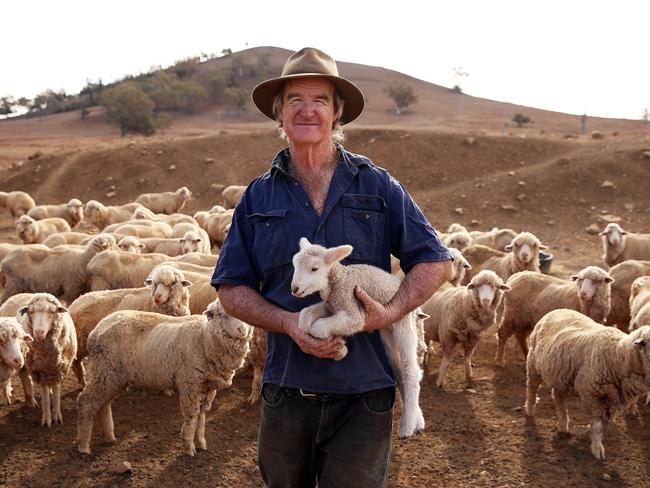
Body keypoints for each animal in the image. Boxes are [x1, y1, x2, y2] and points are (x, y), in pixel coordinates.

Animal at [18, 294, 77, 428]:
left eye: (52, 312)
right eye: (31, 312)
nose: (38, 333)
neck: (46, 355)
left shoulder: (58, 369)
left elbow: (56, 390)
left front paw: (57, 415)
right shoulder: (39, 371)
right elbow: (44, 394)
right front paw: (47, 418)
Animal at [74, 300, 251, 456]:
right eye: (221, 314)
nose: (242, 330)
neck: (204, 337)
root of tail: (95, 331)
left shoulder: (207, 387)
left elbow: (201, 416)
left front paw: (201, 443)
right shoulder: (190, 384)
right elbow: (192, 416)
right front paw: (189, 447)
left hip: (115, 377)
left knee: (103, 404)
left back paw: (109, 437)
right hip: (106, 370)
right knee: (86, 401)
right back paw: (83, 446)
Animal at [290, 238, 422, 440]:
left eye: (314, 268)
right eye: (294, 265)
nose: (294, 289)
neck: (339, 282)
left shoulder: (353, 312)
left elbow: (318, 327)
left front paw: (339, 348)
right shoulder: (330, 306)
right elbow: (305, 317)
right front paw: (336, 347)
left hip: (402, 322)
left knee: (411, 372)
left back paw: (407, 427)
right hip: (386, 332)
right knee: (398, 370)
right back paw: (417, 419)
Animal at [524, 310, 650, 460]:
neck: (619, 355)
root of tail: (557, 310)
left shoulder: (613, 398)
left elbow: (605, 421)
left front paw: (586, 433)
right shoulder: (591, 394)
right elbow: (597, 424)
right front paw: (597, 448)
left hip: (560, 376)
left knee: (558, 398)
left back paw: (563, 425)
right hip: (533, 365)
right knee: (531, 388)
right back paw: (530, 410)